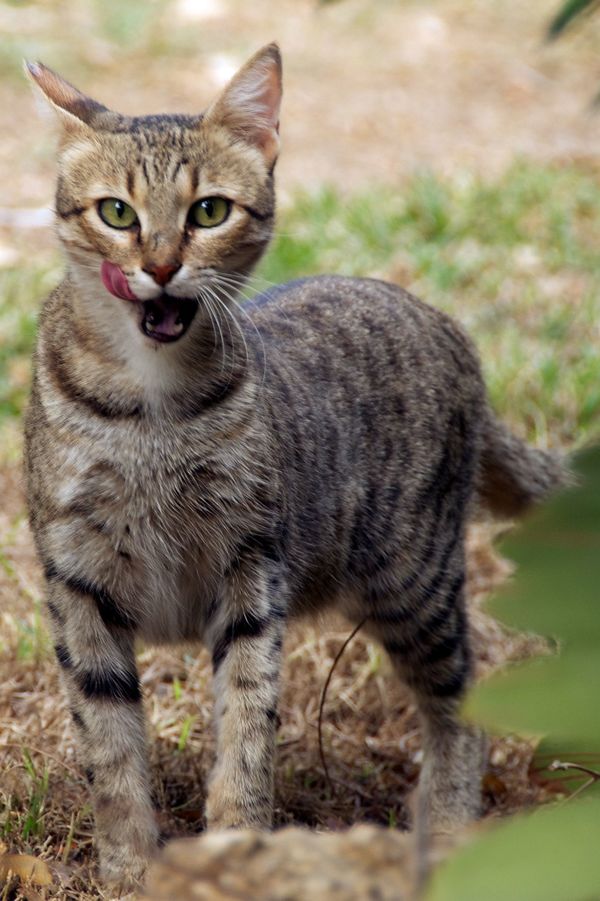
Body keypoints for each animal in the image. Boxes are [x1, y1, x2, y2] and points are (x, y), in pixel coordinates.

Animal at [23, 45, 564, 888]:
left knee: (464, 706)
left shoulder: (251, 570)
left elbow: (246, 729)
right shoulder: (78, 580)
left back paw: (446, 833)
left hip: (412, 581)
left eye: (208, 211)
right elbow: (110, 747)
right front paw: (129, 869)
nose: (162, 266)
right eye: (116, 213)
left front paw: (232, 846)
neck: (152, 410)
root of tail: (447, 325)